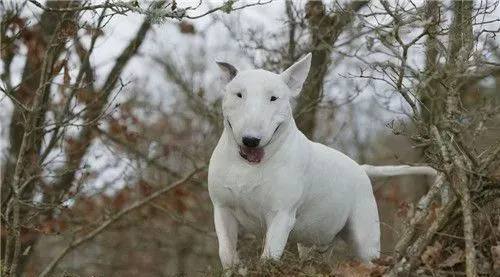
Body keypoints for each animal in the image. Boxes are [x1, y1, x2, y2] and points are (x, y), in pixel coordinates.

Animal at [207, 53, 434, 268]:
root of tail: (361, 169)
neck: (246, 166)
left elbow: (270, 255)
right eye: (239, 94)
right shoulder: (222, 210)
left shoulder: (281, 214)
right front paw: (234, 266)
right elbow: (225, 253)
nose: (251, 140)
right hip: (314, 237)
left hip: (364, 232)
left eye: (273, 98)